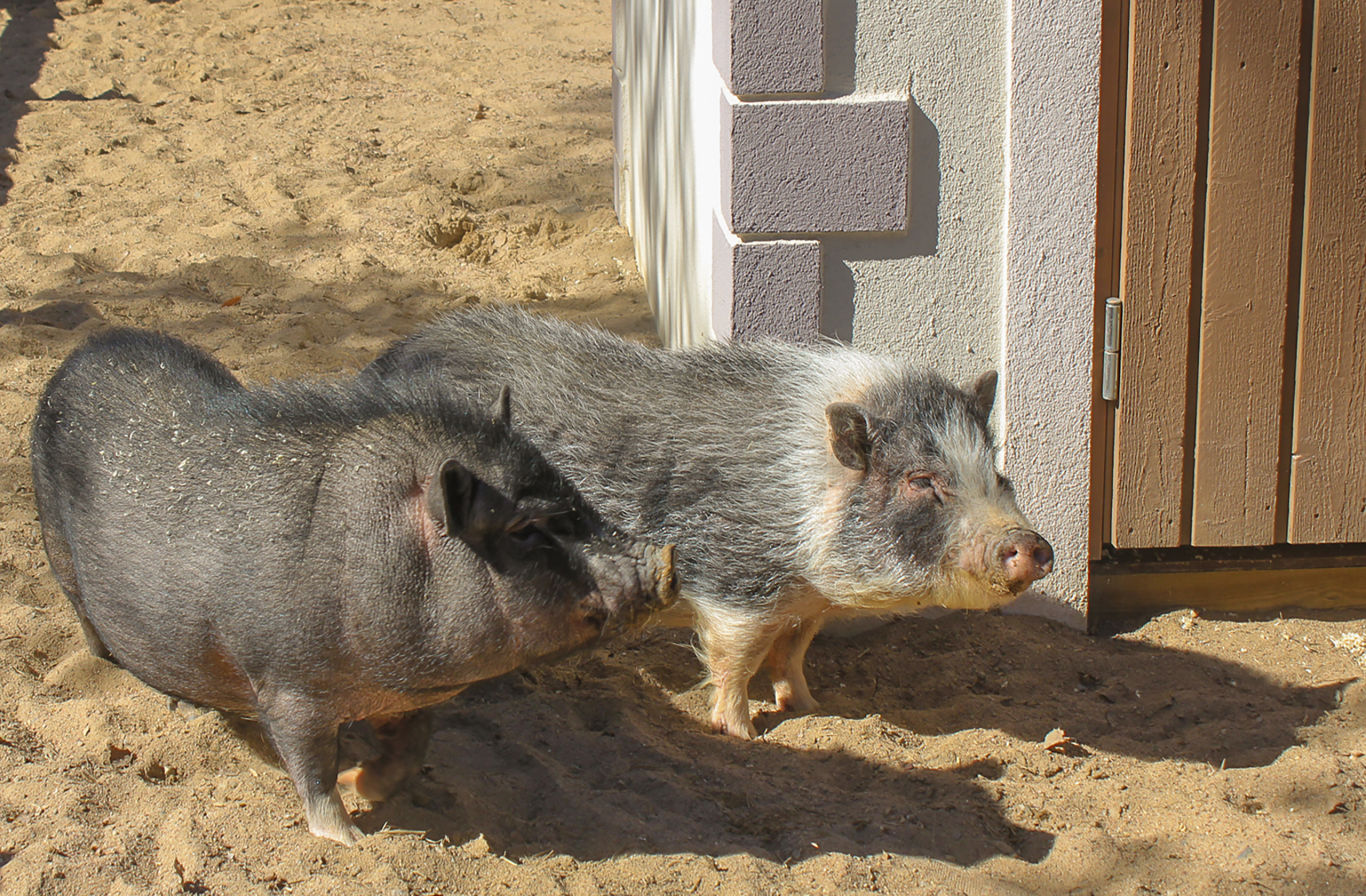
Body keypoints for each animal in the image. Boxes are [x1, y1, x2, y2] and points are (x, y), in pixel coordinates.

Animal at [28, 327, 677, 841]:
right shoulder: (285, 686)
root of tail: (79, 354)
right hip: (60, 556)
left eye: (572, 488)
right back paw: (167, 696)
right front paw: (348, 836)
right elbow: (311, 769)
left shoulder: (409, 695)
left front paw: (366, 786)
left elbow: (411, 750)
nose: (665, 559)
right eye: (522, 528)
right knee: (92, 630)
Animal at [366, 304, 1054, 737]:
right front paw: (742, 734)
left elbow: (792, 654)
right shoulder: (734, 581)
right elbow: (734, 658)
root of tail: (381, 364)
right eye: (922, 481)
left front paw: (815, 707)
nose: (1033, 544)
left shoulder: (808, 603)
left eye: (996, 469)